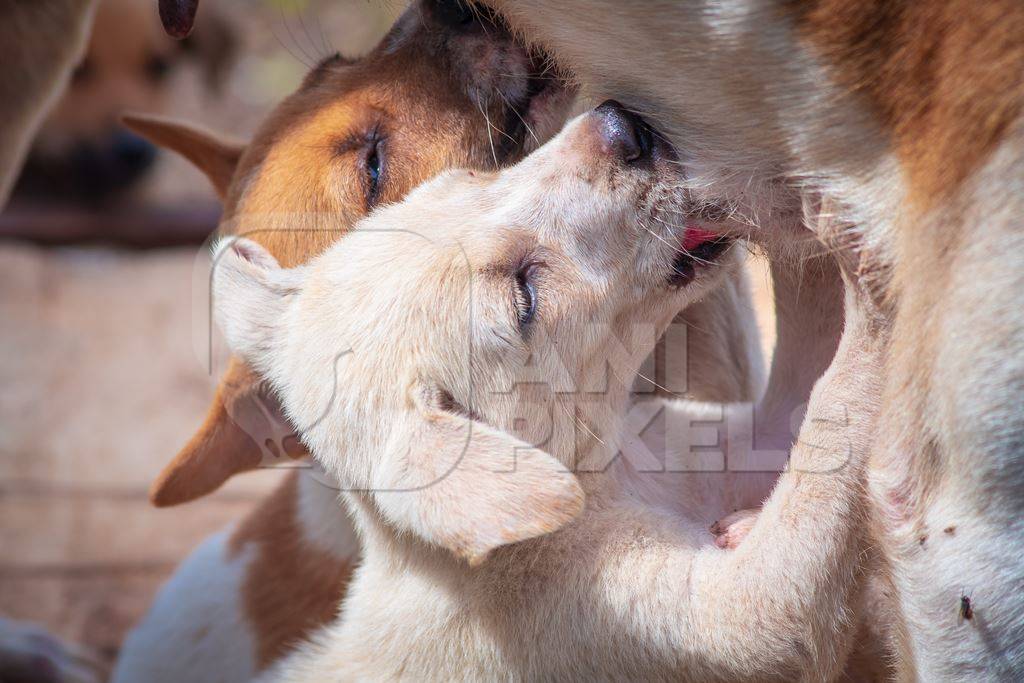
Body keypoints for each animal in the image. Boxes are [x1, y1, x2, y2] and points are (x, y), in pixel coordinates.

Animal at [211, 107, 884, 683]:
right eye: (525, 295)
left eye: (470, 175)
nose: (622, 123)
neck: (608, 475)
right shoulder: (636, 620)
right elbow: (785, 573)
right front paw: (866, 265)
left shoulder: (704, 451)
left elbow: (801, 408)